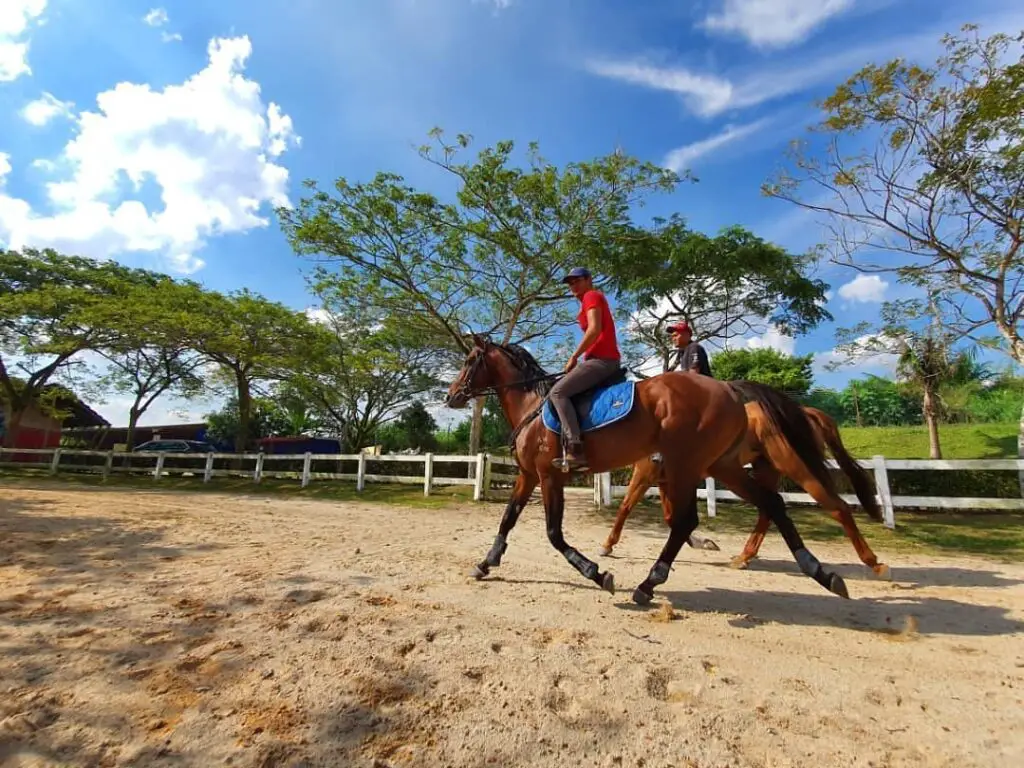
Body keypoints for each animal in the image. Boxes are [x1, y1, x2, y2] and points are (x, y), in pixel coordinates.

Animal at [444, 335, 851, 606]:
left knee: (688, 521)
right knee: (772, 503)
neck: (534, 403)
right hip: (722, 466)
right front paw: (486, 563)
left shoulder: (549, 476)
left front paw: (596, 573)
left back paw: (648, 583)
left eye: (470, 359)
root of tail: (729, 390)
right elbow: (508, 519)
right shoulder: (528, 476)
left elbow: (554, 534)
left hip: (687, 464)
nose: (450, 396)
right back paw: (820, 572)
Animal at [598, 405, 892, 581]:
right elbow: (671, 518)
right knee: (769, 508)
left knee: (836, 506)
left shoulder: (645, 474)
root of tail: (806, 411)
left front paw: (607, 545)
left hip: (794, 466)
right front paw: (702, 542)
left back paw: (875, 563)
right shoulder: (665, 480)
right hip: (765, 470)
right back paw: (744, 557)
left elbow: (626, 507)